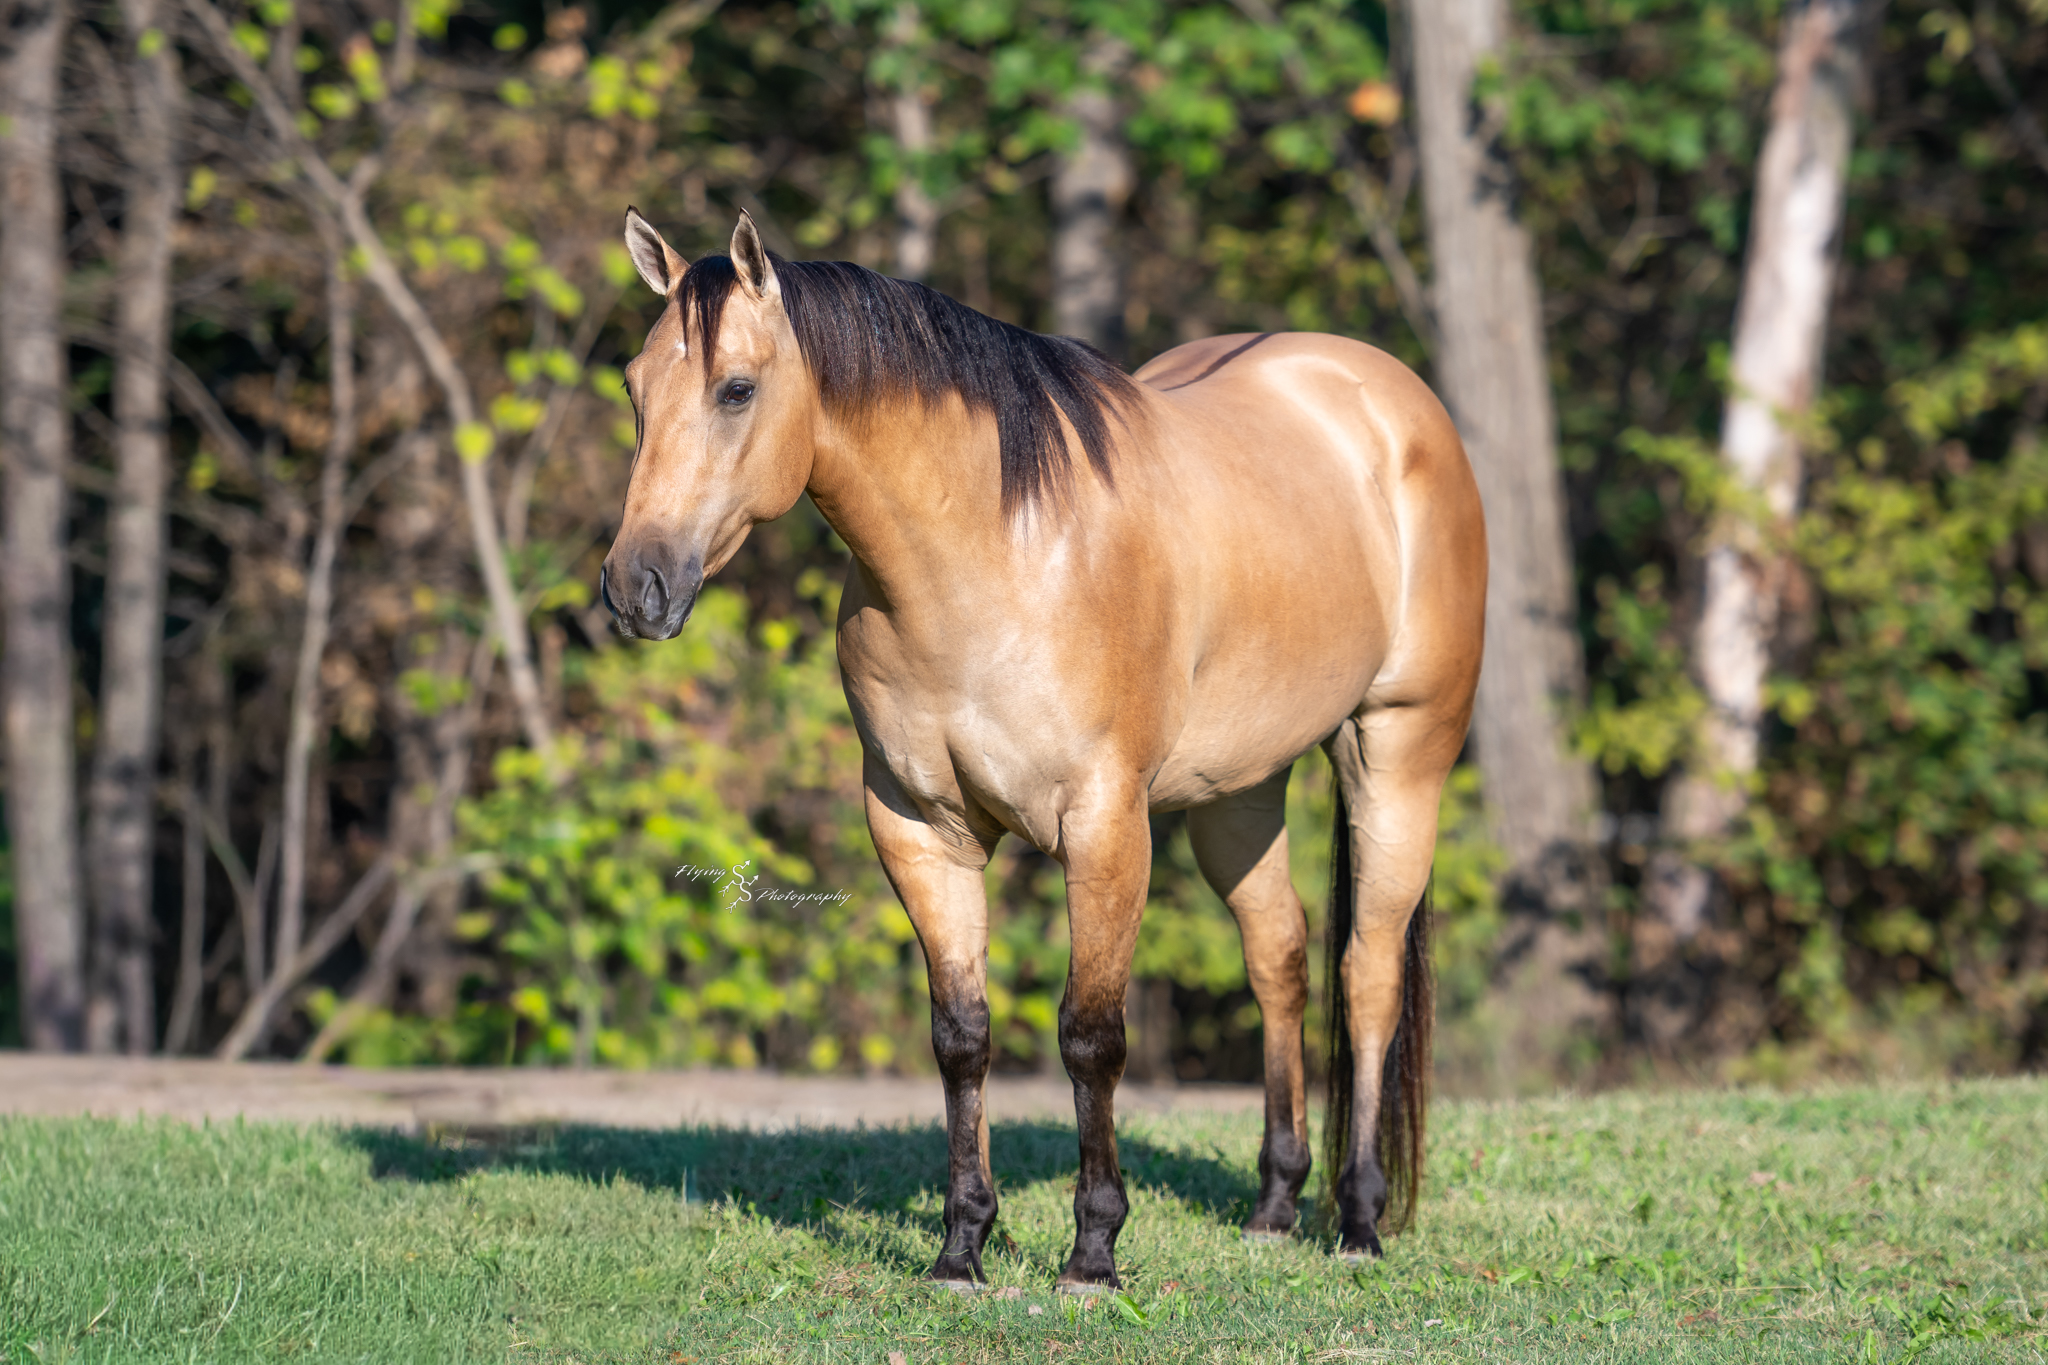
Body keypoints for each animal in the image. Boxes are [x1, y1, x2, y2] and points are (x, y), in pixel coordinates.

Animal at [601, 209, 1485, 1291]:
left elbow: (1090, 1036)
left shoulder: (1103, 826)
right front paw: (961, 1246)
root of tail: (1385, 395)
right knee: (1279, 956)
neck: (993, 553)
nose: (634, 587)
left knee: (1367, 974)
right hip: (1238, 792)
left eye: (735, 389)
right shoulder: (918, 828)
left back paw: (1357, 1220)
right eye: (635, 388)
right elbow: (962, 1036)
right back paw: (1276, 1205)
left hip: (1397, 754)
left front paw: (1093, 1253)